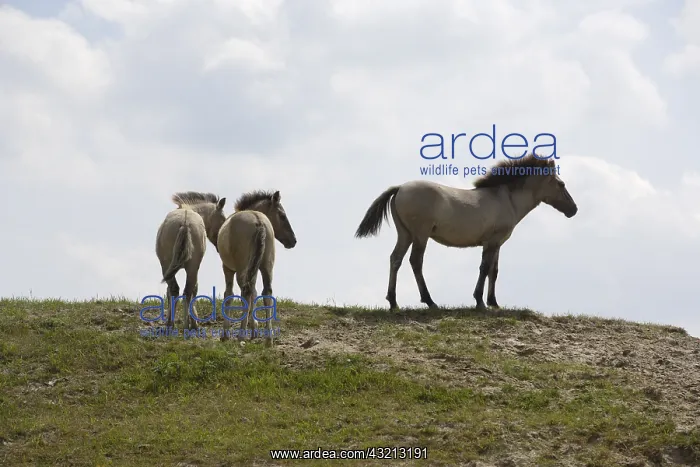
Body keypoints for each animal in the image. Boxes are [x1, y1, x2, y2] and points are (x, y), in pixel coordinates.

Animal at [155, 192, 227, 330]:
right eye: (223, 219)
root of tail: (185, 222)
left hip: (170, 266)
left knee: (178, 290)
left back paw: (175, 324)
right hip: (187, 267)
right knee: (184, 291)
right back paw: (184, 325)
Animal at [217, 190, 297, 345]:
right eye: (282, 216)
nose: (293, 240)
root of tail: (258, 221)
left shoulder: (228, 269)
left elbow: (229, 295)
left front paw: (225, 334)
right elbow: (255, 293)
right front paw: (254, 329)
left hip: (242, 269)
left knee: (246, 292)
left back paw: (241, 335)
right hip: (266, 266)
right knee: (266, 292)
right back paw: (268, 338)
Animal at [354, 154, 578, 310]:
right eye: (561, 184)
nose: (573, 210)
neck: (506, 199)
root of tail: (400, 188)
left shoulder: (496, 243)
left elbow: (494, 271)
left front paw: (494, 302)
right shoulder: (492, 242)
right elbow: (484, 268)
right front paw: (479, 301)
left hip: (405, 234)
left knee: (396, 259)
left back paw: (393, 302)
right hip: (420, 235)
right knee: (415, 261)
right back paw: (430, 301)